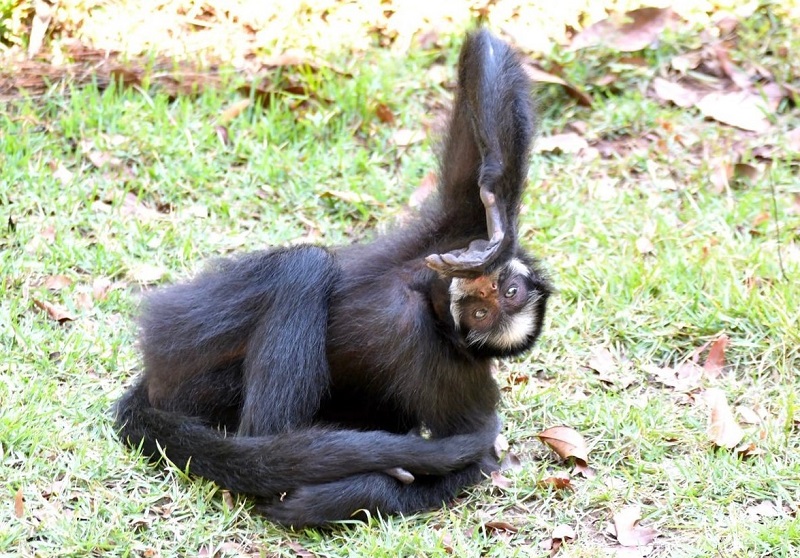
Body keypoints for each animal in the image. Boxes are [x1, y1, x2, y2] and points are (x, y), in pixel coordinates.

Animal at [114, 30, 552, 528]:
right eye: (503, 291)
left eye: (481, 314)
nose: (482, 289)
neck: (424, 301)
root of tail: (153, 382)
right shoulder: (453, 234)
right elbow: (484, 75)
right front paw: (498, 209)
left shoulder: (456, 374)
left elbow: (474, 459)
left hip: (188, 365)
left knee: (302, 272)